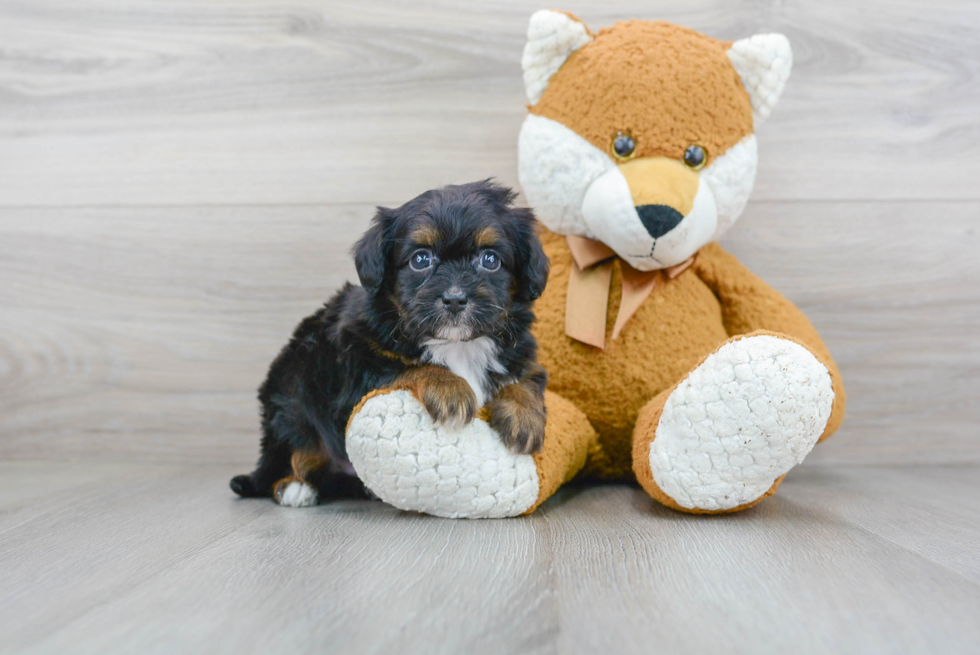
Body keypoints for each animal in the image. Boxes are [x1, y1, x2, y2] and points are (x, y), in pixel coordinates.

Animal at [231, 179, 552, 508]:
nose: (454, 298)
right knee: (293, 451)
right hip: (293, 392)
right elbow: (404, 365)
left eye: (490, 260)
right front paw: (449, 386)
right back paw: (293, 486)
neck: (457, 345)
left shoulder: (521, 352)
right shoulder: (354, 359)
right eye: (421, 259)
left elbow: (526, 376)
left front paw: (524, 416)